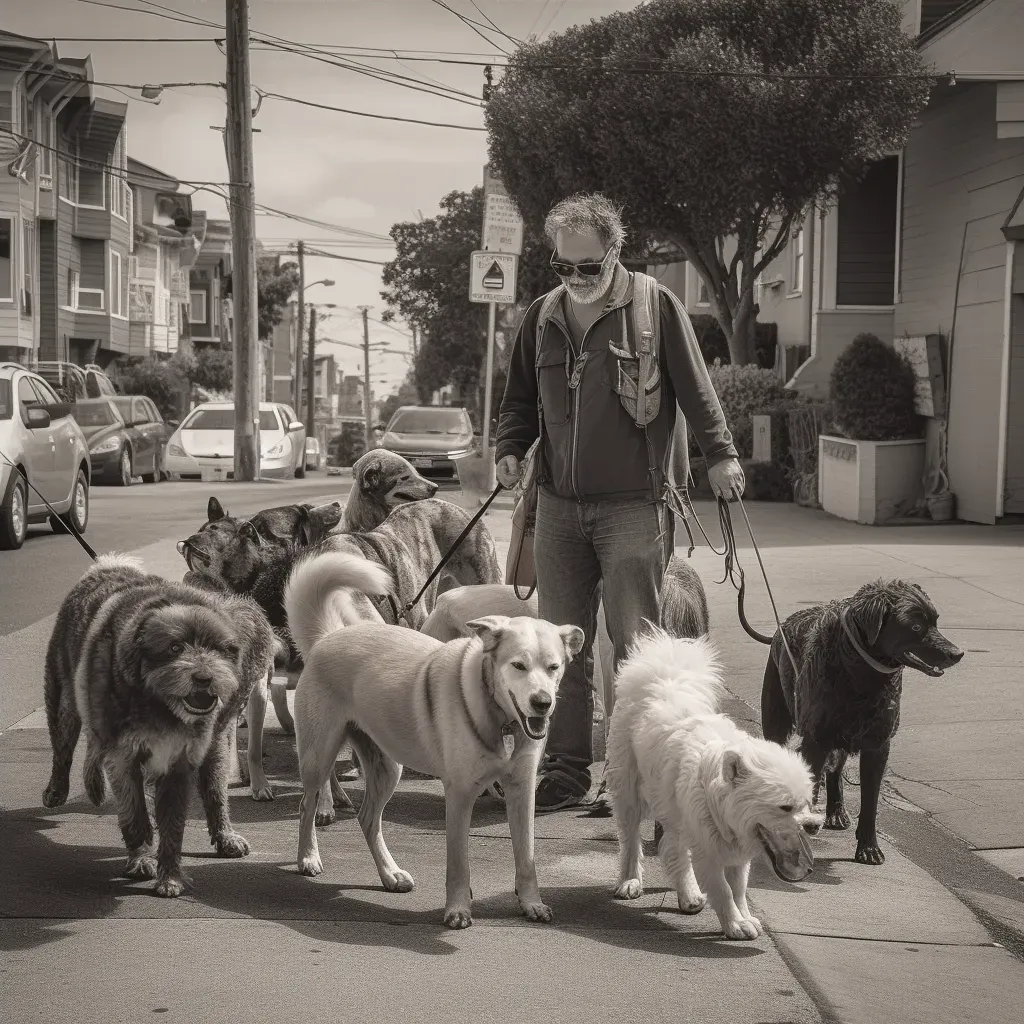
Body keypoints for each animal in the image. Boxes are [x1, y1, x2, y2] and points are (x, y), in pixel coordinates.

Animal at [41, 552, 276, 897]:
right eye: (175, 648)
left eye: (220, 648)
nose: (204, 678)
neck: (158, 703)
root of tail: (107, 566)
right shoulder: (122, 757)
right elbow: (134, 813)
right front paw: (141, 857)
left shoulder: (178, 759)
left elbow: (173, 823)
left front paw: (170, 876)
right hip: (63, 701)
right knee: (63, 748)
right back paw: (57, 791)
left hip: (215, 749)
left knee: (215, 794)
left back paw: (225, 835)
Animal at [284, 552, 585, 929]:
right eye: (518, 665)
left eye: (554, 667)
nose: (542, 703)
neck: (500, 719)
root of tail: (330, 636)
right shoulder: (459, 795)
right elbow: (458, 863)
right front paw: (457, 909)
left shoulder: (522, 792)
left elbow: (526, 858)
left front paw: (531, 903)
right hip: (318, 756)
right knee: (306, 805)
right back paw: (308, 858)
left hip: (387, 768)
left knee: (368, 818)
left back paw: (390, 875)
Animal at [602, 622, 819, 937]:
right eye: (784, 807)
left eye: (806, 804)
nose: (814, 825)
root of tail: (662, 676)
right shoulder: (708, 849)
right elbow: (723, 890)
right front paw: (735, 924)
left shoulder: (734, 853)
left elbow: (738, 888)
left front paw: (745, 917)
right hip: (629, 792)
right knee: (631, 839)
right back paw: (630, 881)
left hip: (673, 811)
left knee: (672, 848)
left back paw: (689, 895)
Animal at [761, 577, 966, 864]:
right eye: (915, 626)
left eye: (935, 621)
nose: (957, 653)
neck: (860, 671)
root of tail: (781, 629)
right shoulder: (815, 741)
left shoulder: (877, 745)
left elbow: (870, 803)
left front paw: (868, 848)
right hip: (777, 722)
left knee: (835, 770)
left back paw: (836, 812)